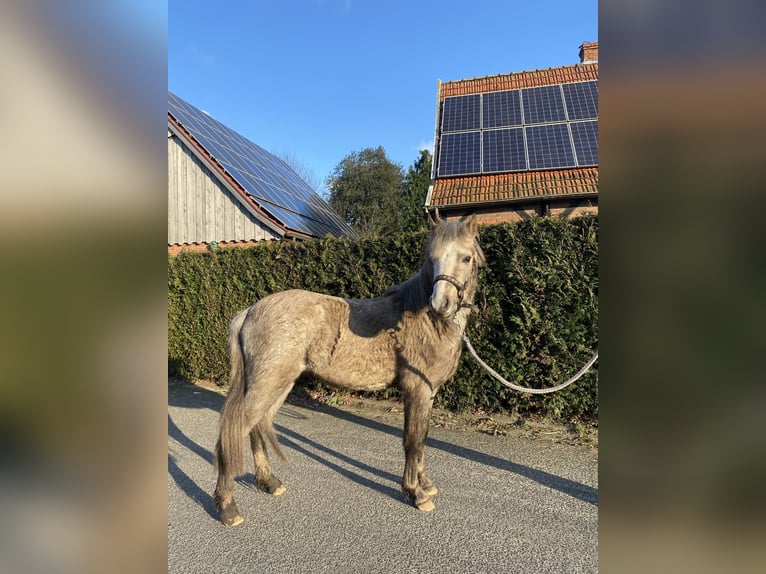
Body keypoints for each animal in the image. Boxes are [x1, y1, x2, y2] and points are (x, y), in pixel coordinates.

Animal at [212, 213, 486, 528]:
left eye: (466, 257)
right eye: (432, 258)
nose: (441, 304)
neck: (423, 321)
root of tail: (249, 311)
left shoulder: (429, 393)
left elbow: (423, 438)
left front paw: (425, 483)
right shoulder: (416, 391)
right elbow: (412, 441)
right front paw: (415, 494)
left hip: (279, 384)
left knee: (258, 426)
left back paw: (269, 482)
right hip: (266, 383)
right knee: (234, 432)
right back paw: (227, 508)